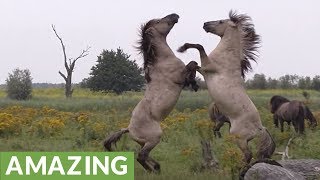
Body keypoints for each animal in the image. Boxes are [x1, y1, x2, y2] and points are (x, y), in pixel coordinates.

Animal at [103, 13, 198, 174]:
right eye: (159, 21)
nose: (175, 15)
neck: (163, 61)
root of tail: (129, 129)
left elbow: (193, 66)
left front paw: (195, 84)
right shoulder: (179, 75)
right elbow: (193, 64)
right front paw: (194, 82)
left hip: (145, 142)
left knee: (143, 154)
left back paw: (157, 167)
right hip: (154, 138)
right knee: (141, 156)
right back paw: (153, 170)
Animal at [179, 10, 276, 165]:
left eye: (220, 21)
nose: (205, 24)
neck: (227, 57)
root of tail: (259, 128)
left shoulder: (207, 68)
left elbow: (199, 48)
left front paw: (183, 48)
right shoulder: (204, 69)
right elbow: (193, 63)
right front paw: (192, 81)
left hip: (239, 138)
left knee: (248, 154)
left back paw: (240, 166)